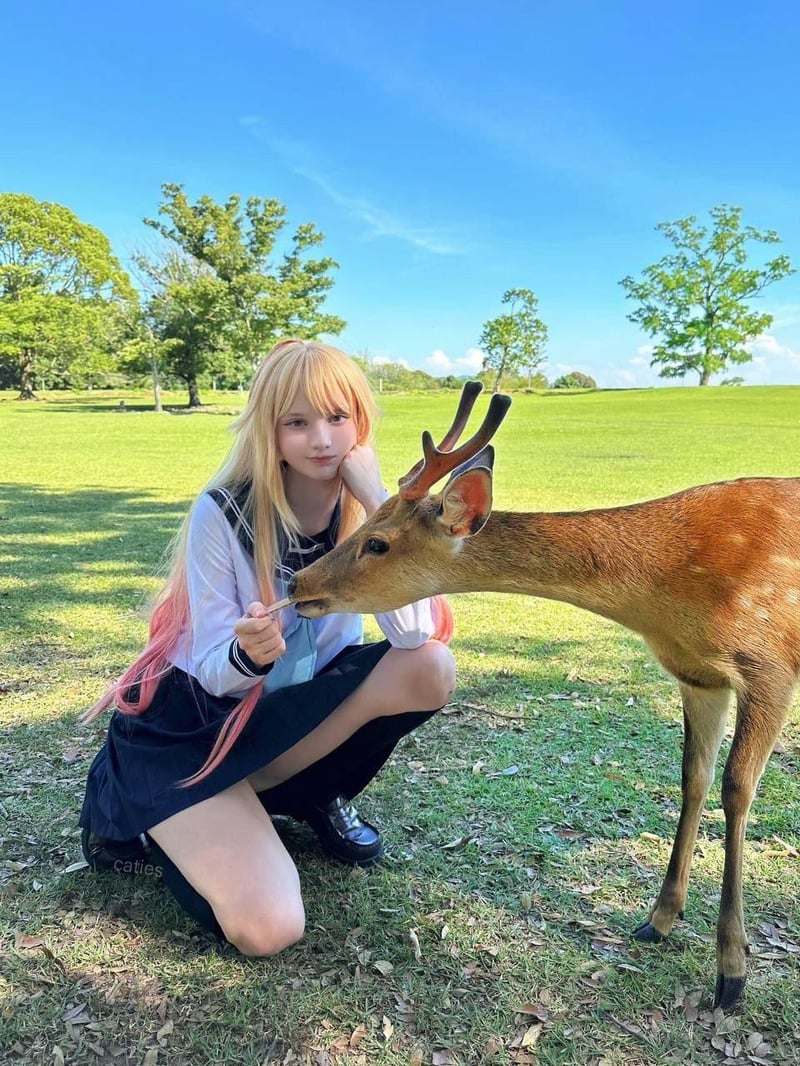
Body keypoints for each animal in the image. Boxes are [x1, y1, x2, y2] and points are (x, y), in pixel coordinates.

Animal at [287, 381, 800, 1011]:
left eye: (377, 544)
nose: (298, 583)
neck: (670, 595)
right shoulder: (696, 675)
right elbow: (693, 778)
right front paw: (658, 919)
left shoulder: (770, 665)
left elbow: (736, 789)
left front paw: (732, 971)